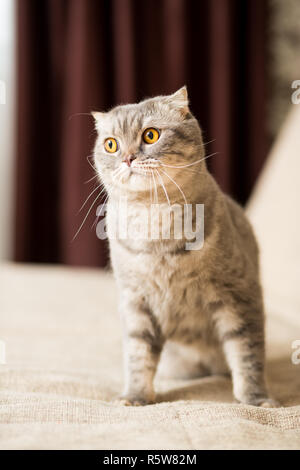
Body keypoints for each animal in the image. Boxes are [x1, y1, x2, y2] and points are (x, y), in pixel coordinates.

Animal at [92, 87, 278, 408]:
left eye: (150, 135)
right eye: (111, 144)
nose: (127, 158)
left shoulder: (240, 296)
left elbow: (247, 353)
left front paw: (256, 400)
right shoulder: (135, 302)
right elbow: (138, 357)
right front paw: (135, 396)